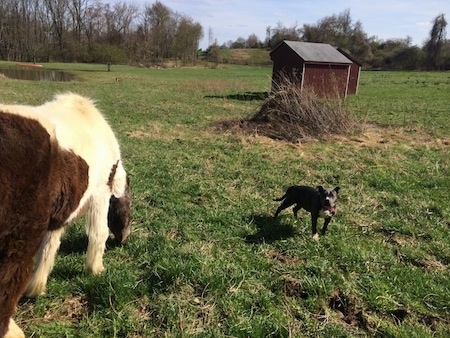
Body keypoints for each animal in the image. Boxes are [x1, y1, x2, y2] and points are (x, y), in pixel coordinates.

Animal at [0, 93, 130, 338]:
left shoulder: (57, 215)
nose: (124, 240)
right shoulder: (101, 193)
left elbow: (49, 248)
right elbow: (99, 234)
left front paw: (37, 288)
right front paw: (96, 270)